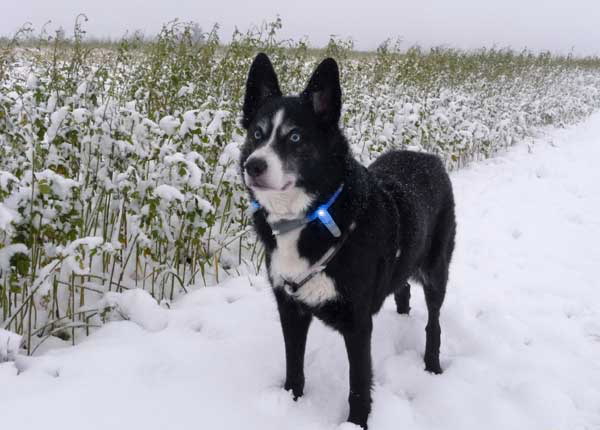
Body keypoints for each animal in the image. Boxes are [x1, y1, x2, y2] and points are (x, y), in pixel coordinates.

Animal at [239, 54, 454, 430]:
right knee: (402, 288)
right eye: (257, 134)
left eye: (295, 136)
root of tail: (428, 157)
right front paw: (290, 403)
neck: (312, 215)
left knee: (434, 322)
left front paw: (356, 423)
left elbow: (358, 383)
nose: (253, 166)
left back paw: (432, 364)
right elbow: (294, 364)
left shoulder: (357, 323)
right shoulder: (289, 308)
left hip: (436, 270)